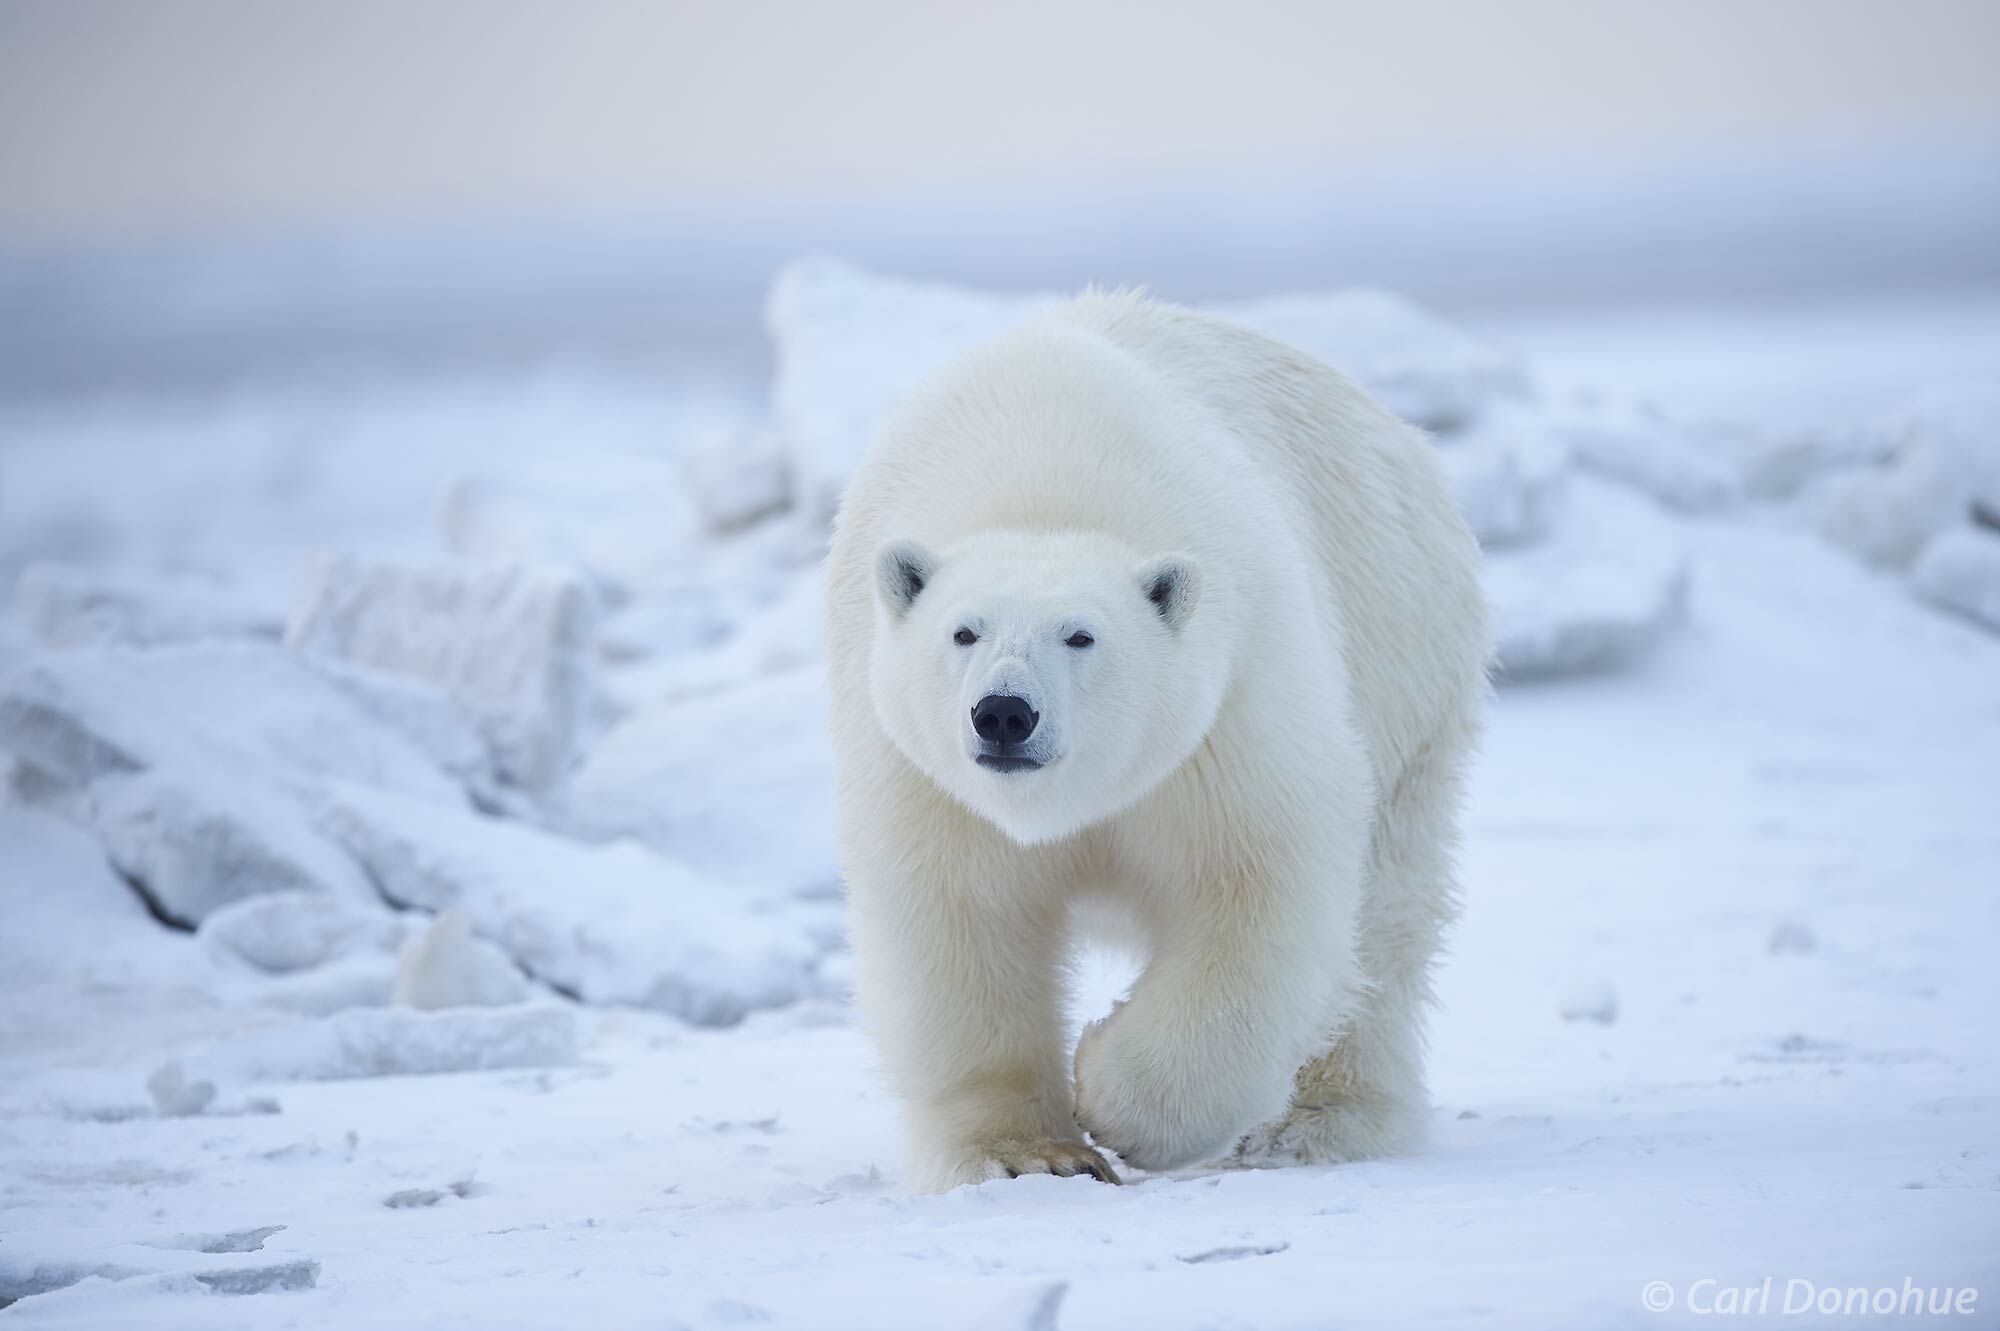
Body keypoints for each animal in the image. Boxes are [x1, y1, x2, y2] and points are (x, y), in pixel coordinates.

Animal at [824, 287, 1488, 1183]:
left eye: (1081, 635)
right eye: (963, 631)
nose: (1004, 713)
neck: (1039, 489)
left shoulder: (1227, 714)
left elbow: (1259, 881)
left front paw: (1112, 1096)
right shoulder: (924, 777)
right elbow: (959, 916)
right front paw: (1028, 1155)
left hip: (1404, 658)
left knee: (1386, 910)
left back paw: (1317, 1125)